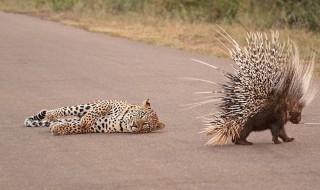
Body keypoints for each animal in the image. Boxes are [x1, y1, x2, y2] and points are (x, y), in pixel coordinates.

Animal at [24, 98, 165, 136]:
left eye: (146, 125)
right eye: (141, 115)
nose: (135, 125)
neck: (123, 121)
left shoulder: (97, 126)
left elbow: (75, 126)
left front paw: (57, 129)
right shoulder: (109, 102)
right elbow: (96, 111)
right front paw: (86, 120)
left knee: (68, 120)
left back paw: (54, 123)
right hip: (85, 106)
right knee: (66, 109)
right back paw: (50, 114)